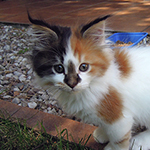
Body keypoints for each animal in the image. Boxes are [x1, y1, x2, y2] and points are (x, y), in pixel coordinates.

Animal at [27, 13, 150, 149]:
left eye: (84, 67)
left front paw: (113, 147)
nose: (72, 83)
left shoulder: (120, 119)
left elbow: (118, 139)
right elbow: (106, 127)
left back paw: (139, 141)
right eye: (58, 68)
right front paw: (102, 134)